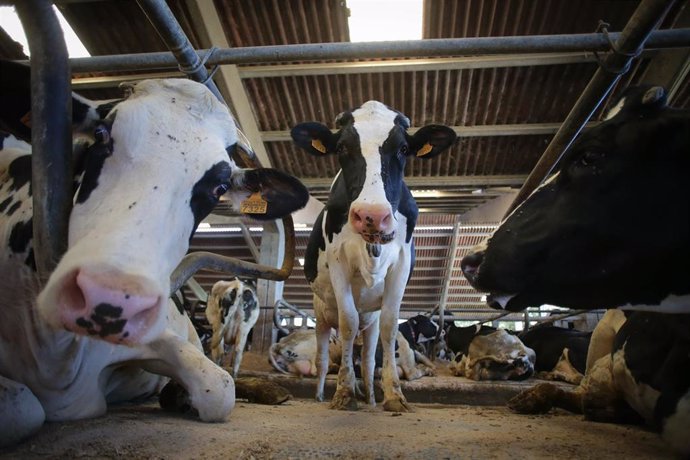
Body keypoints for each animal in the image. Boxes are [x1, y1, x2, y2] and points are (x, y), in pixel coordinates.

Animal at [0, 68, 308, 446]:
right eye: (101, 135)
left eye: (219, 187)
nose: (110, 299)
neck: (57, 351)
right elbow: (22, 408)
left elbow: (220, 388)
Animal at [288, 102, 454, 412]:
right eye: (342, 147)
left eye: (403, 148)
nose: (373, 216)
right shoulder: (339, 262)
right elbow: (348, 322)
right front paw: (344, 393)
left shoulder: (400, 265)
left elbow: (390, 327)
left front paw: (394, 396)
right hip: (320, 315)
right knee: (323, 358)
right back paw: (321, 395)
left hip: (370, 322)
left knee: (365, 359)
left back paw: (371, 398)